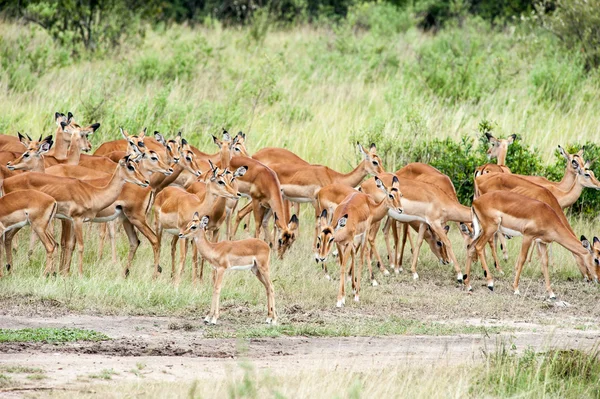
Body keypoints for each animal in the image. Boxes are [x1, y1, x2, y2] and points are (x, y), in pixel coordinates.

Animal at [314, 177, 404, 308]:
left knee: (360, 259)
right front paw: (342, 297)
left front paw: (344, 296)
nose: (401, 209)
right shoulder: (342, 244)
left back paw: (356, 295)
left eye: (401, 195)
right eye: (390, 195)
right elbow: (343, 264)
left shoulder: (350, 241)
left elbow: (346, 263)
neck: (372, 207)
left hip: (361, 234)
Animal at [468, 192, 600, 298]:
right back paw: (490, 284)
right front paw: (516, 289)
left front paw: (552, 294)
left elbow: (545, 263)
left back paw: (468, 285)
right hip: (491, 228)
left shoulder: (541, 242)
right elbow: (522, 260)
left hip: (481, 231)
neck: (548, 216)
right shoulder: (528, 236)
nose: (598, 278)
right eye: (596, 259)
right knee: (478, 247)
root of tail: (475, 202)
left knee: (470, 247)